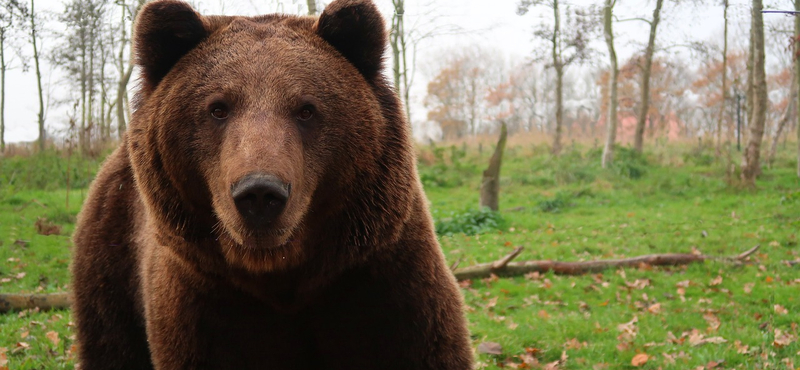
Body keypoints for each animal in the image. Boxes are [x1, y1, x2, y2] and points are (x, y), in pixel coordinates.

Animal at [72, 0, 472, 368]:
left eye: (306, 109)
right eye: (218, 108)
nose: (260, 194)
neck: (280, 278)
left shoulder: (380, 284)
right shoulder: (202, 309)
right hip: (112, 261)